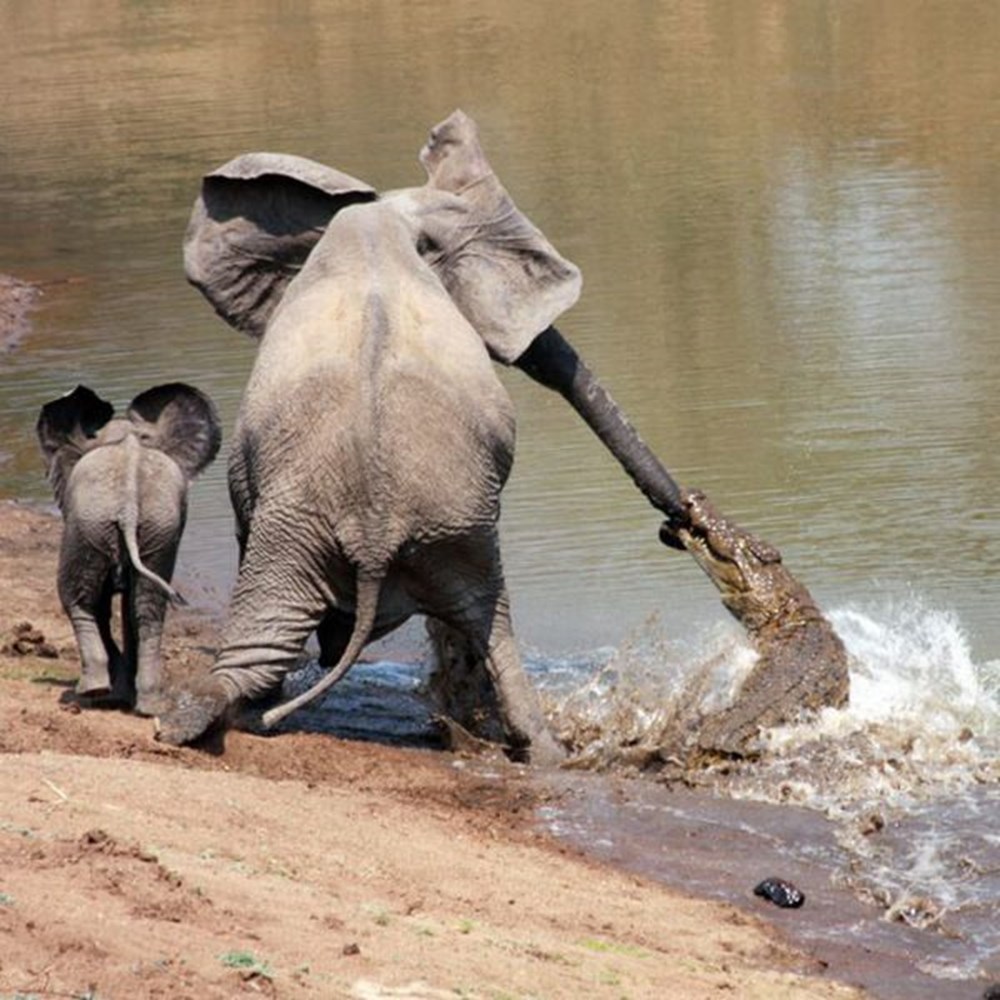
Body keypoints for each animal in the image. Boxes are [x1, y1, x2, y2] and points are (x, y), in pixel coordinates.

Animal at [38, 384, 221, 720]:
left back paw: (93, 691)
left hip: (89, 524)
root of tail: (128, 505)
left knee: (78, 598)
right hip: (157, 528)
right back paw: (148, 704)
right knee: (148, 607)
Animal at [158, 111, 688, 764]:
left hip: (368, 526)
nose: (678, 525)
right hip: (414, 525)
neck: (386, 218)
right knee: (486, 624)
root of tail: (373, 532)